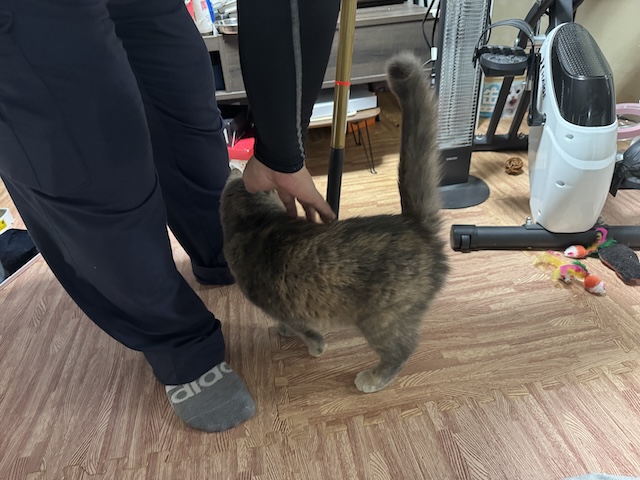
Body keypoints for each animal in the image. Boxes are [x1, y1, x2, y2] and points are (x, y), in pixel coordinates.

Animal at [219, 52, 449, 393]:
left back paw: (373, 378)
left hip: (381, 320)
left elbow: (305, 330)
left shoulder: (285, 309)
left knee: (402, 351)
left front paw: (312, 345)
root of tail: (414, 224)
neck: (253, 222)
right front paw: (285, 332)